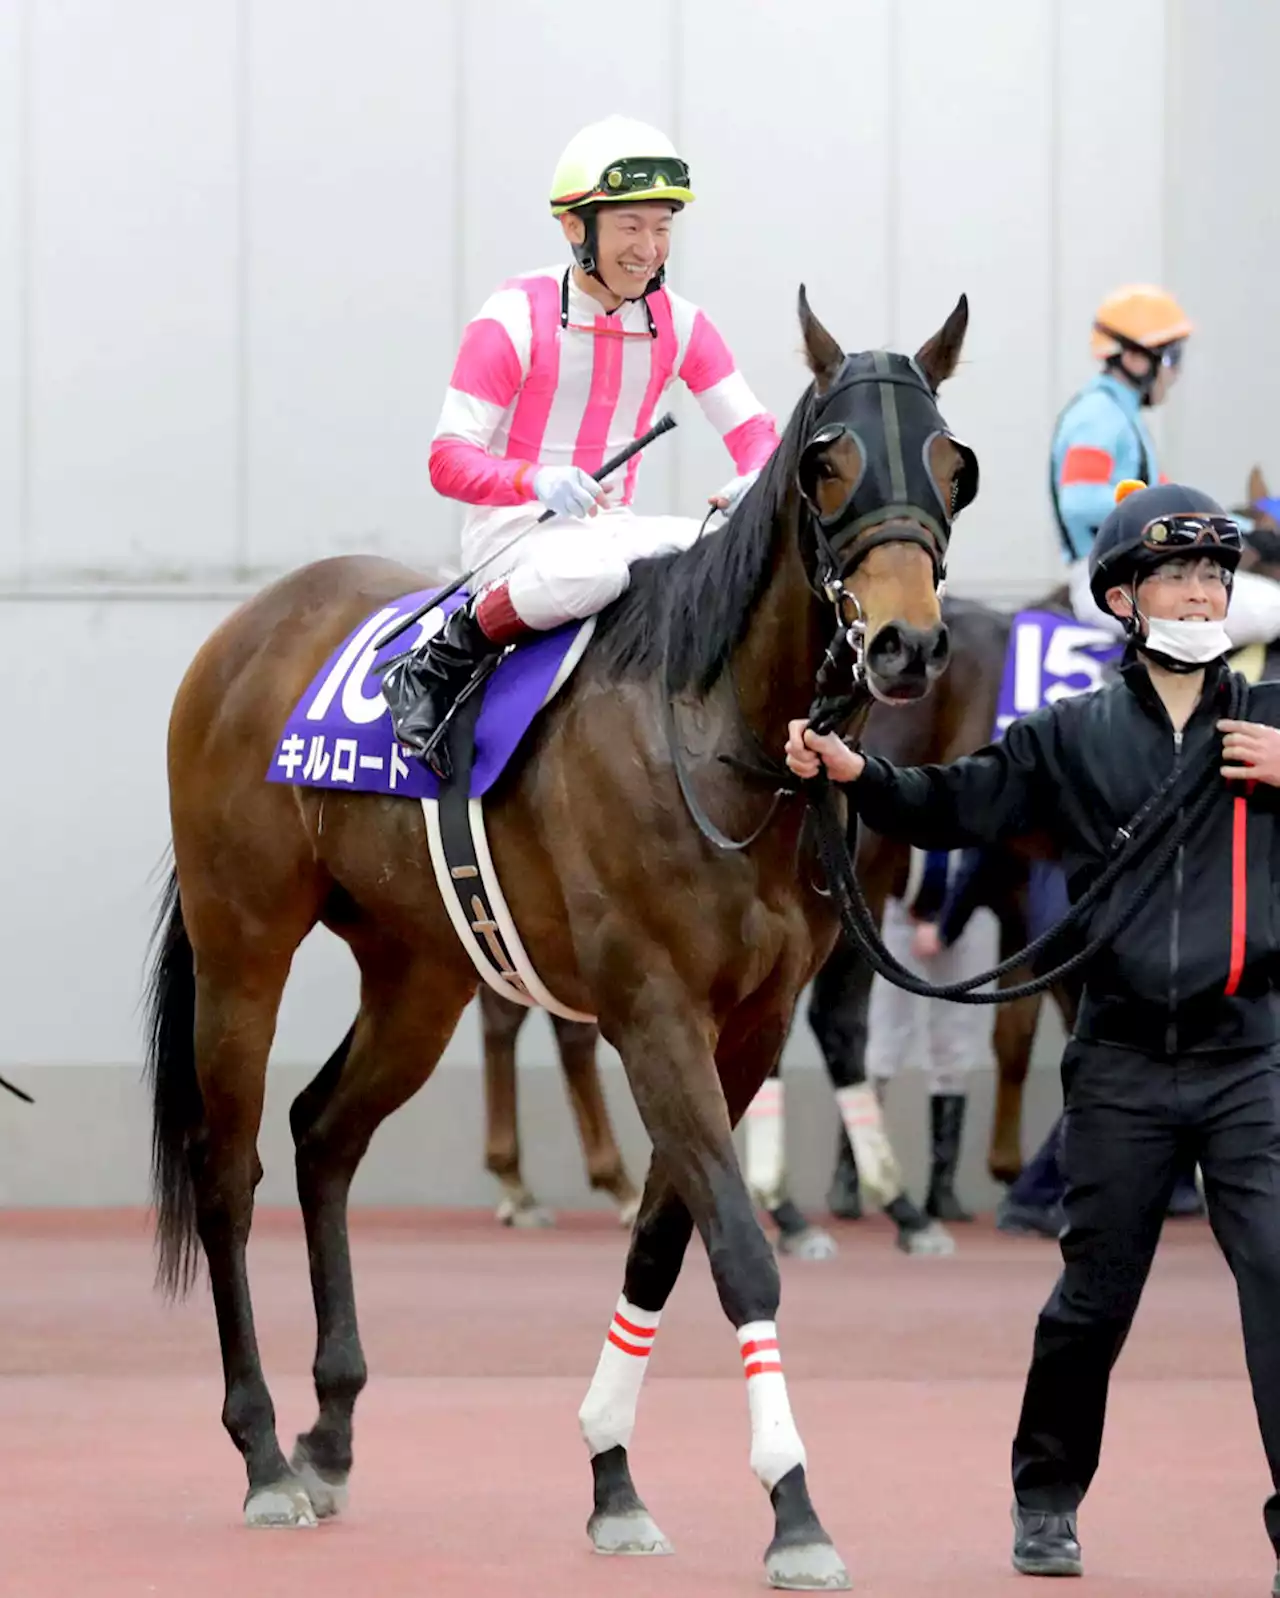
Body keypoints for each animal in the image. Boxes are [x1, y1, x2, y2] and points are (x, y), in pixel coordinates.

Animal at [142, 290, 971, 1585]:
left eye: (949, 462)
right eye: (828, 462)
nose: (904, 645)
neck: (714, 733)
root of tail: (246, 630)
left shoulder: (745, 1023)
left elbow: (661, 1242)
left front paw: (612, 1475)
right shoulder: (652, 1010)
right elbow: (736, 1245)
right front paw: (792, 1507)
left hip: (418, 971)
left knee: (324, 1133)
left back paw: (330, 1427)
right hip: (243, 948)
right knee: (228, 1169)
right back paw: (267, 1451)